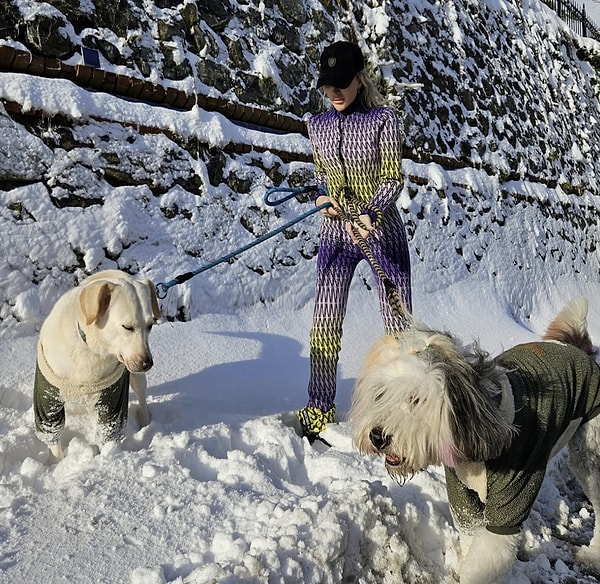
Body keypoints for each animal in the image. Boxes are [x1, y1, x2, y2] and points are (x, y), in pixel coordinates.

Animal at [34, 270, 161, 460]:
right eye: (127, 327)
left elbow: (109, 431)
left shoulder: (113, 396)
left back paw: (145, 424)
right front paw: (57, 463)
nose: (147, 363)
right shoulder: (47, 394)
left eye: (150, 325)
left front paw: (107, 457)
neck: (91, 349)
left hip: (136, 377)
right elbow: (51, 433)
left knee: (141, 396)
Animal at [352, 298, 600, 584]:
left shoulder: (512, 498)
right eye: (381, 394)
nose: (377, 436)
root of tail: (576, 345)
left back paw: (592, 556)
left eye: (416, 398)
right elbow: (471, 537)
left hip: (590, 453)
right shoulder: (463, 497)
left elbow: (486, 558)